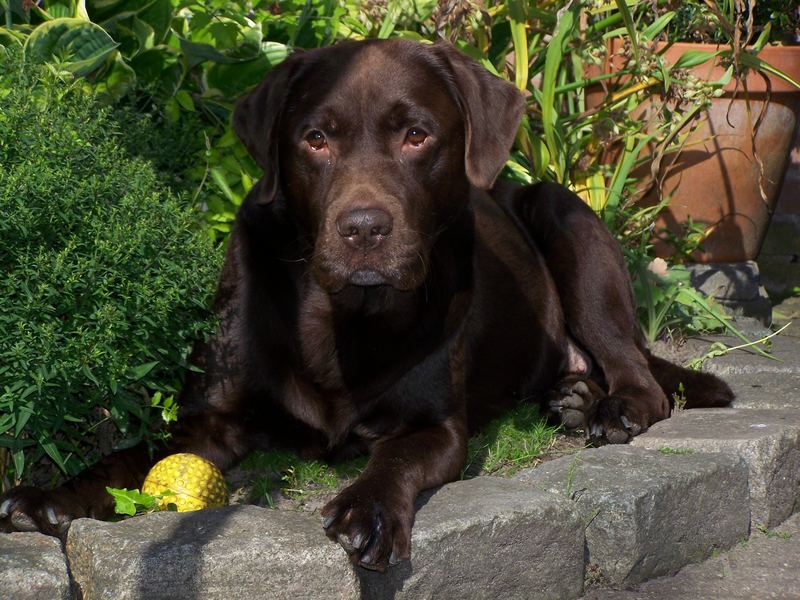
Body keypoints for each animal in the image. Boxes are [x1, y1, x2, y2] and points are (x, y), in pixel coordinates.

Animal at [0, 38, 732, 572]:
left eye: (417, 135)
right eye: (315, 139)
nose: (362, 229)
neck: (341, 316)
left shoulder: (434, 424)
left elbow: (396, 459)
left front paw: (367, 511)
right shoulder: (209, 416)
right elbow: (129, 456)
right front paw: (52, 497)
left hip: (564, 214)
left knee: (636, 369)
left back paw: (611, 407)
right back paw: (573, 398)